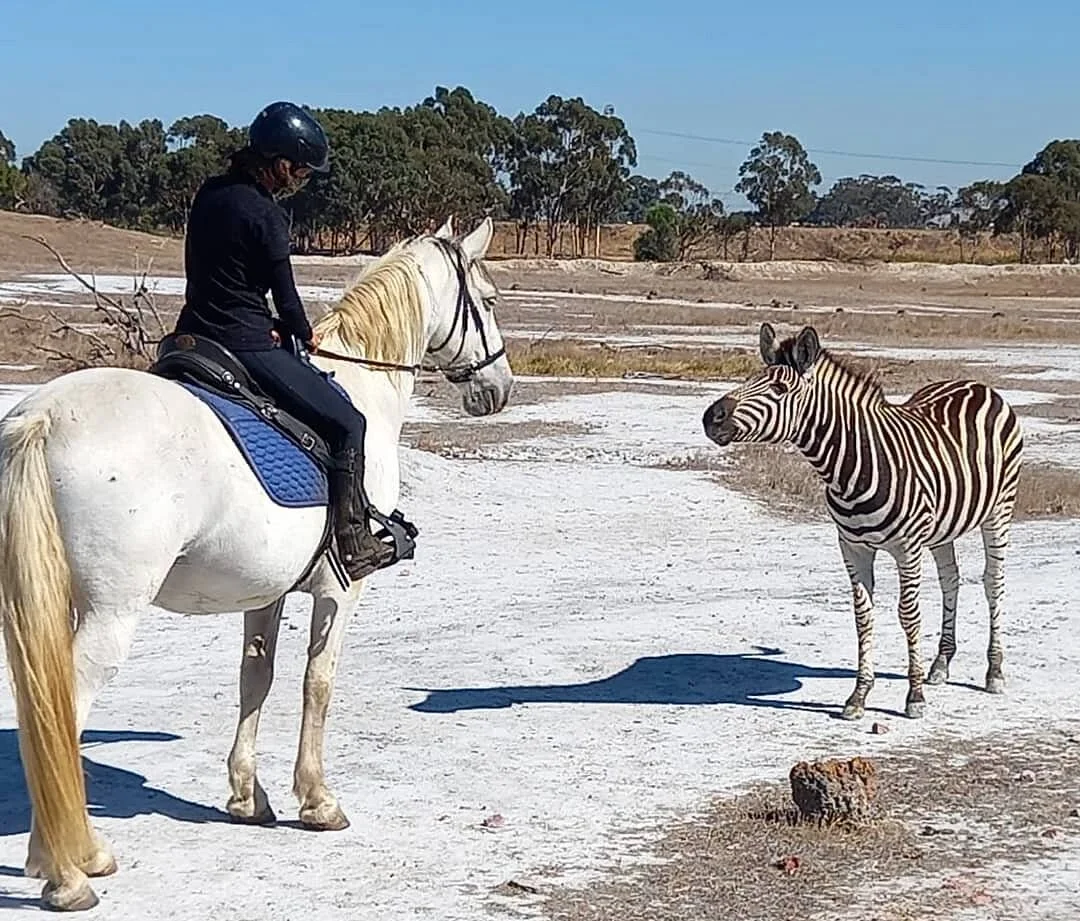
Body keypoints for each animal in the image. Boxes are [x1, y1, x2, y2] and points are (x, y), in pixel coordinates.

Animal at [0, 215, 514, 912]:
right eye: (486, 300)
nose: (499, 390)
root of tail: (44, 416)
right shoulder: (339, 591)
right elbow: (317, 683)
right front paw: (318, 801)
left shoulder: (266, 592)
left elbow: (256, 678)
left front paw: (248, 797)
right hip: (110, 615)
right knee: (60, 711)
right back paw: (71, 870)